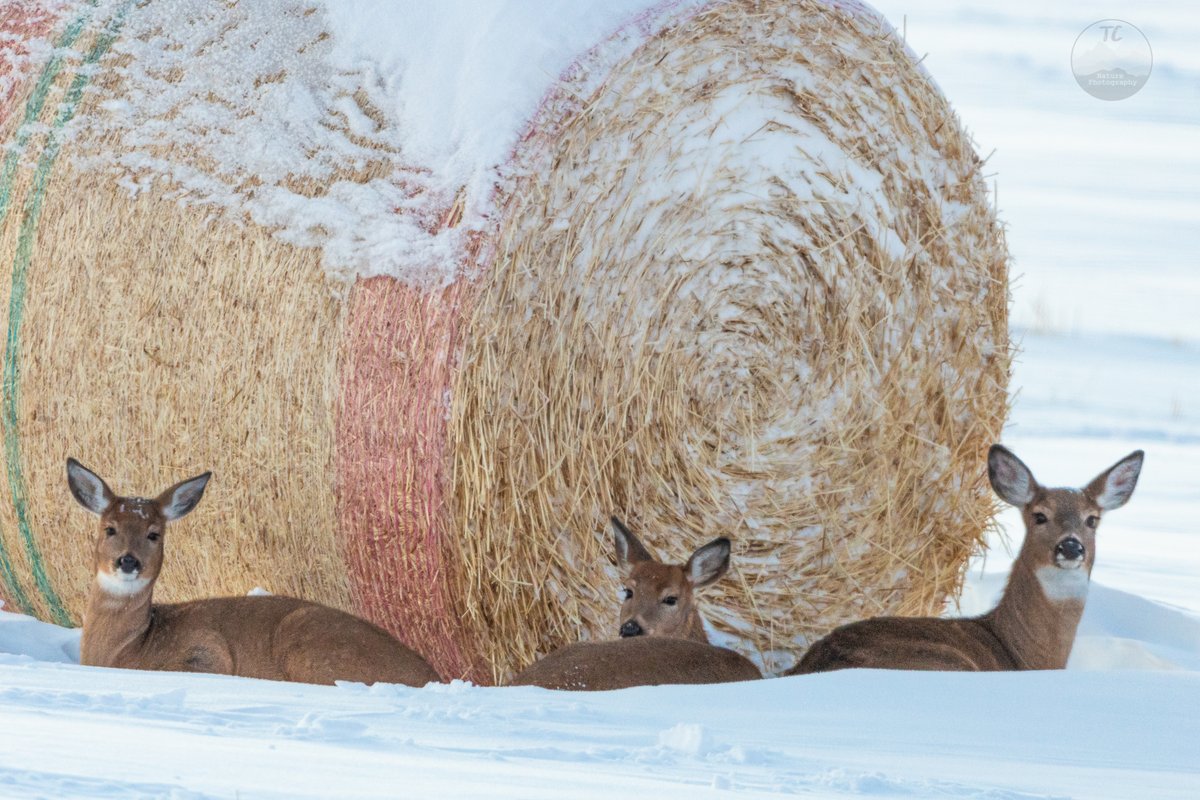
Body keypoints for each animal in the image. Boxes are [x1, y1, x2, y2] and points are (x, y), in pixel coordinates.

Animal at [66, 460, 441, 686]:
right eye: (110, 528)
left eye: (154, 534)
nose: (128, 561)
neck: (123, 650)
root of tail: (432, 674)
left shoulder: (206, 653)